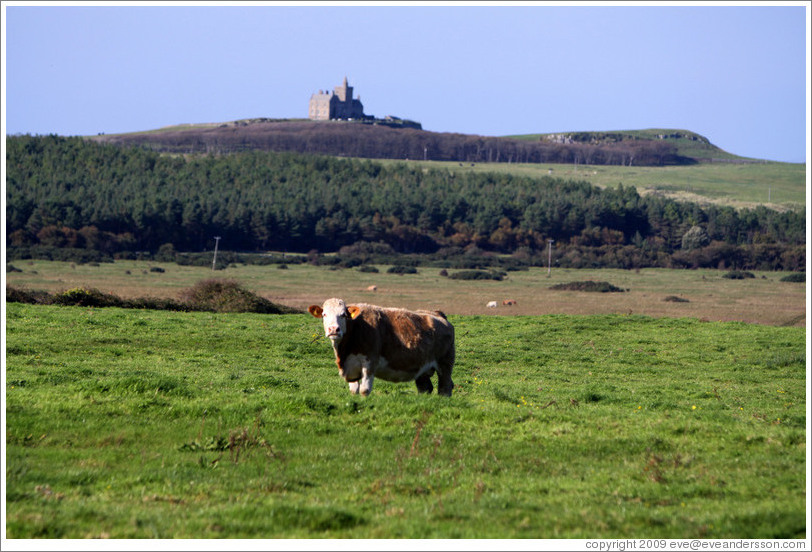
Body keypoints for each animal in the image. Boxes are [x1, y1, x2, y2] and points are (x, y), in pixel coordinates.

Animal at [308, 298, 454, 396]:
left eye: (343, 315)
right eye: (324, 314)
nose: (334, 329)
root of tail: (437, 314)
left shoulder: (370, 362)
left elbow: (364, 390)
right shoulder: (351, 367)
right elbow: (354, 390)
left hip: (445, 364)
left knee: (445, 388)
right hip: (423, 369)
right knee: (425, 388)